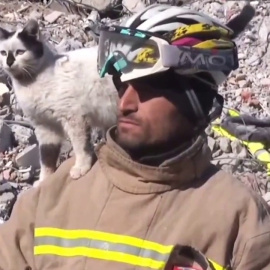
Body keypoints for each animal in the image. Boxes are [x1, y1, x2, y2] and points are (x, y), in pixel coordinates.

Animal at [0, 19, 119, 186]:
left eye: (20, 52)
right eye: (3, 53)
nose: (9, 62)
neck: (31, 82)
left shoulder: (74, 118)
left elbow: (80, 146)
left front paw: (81, 167)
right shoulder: (45, 127)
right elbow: (46, 158)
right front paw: (44, 180)